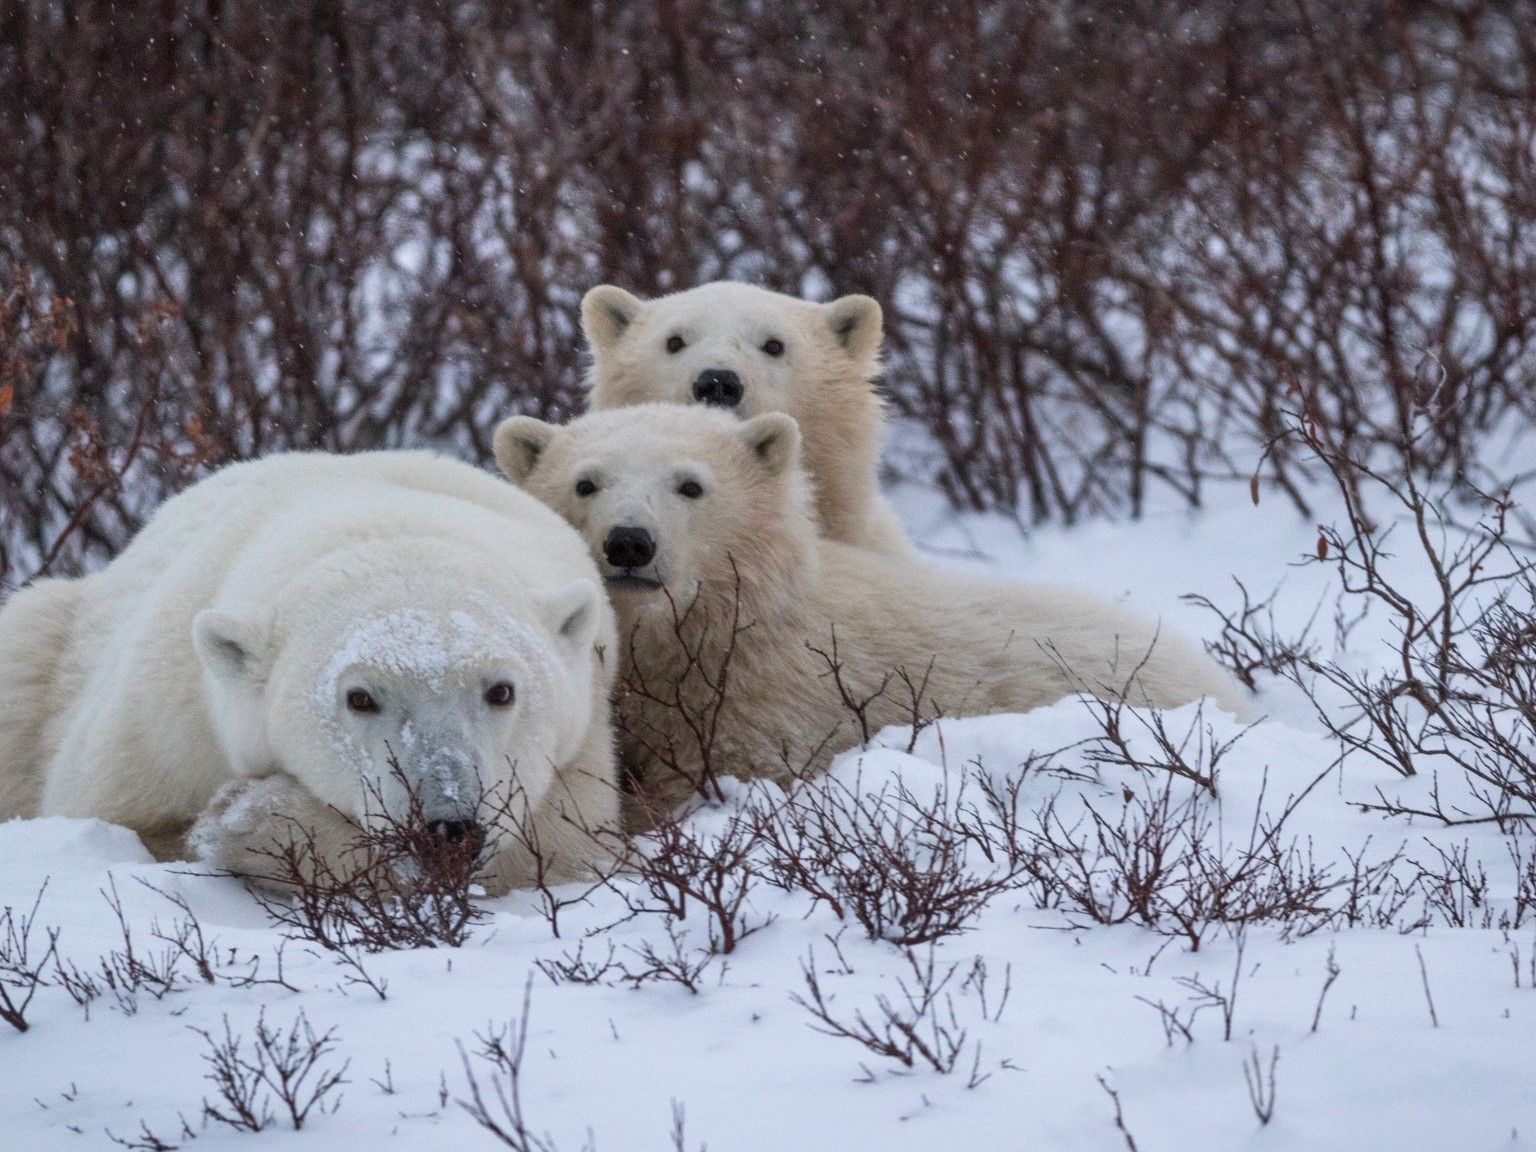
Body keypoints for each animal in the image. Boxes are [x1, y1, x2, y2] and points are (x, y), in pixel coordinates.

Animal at [0, 450, 619, 892]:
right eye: (360, 697)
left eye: (501, 690)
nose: (448, 828)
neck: (384, 519)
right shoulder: (162, 728)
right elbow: (126, 821)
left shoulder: (581, 746)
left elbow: (561, 853)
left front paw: (242, 820)